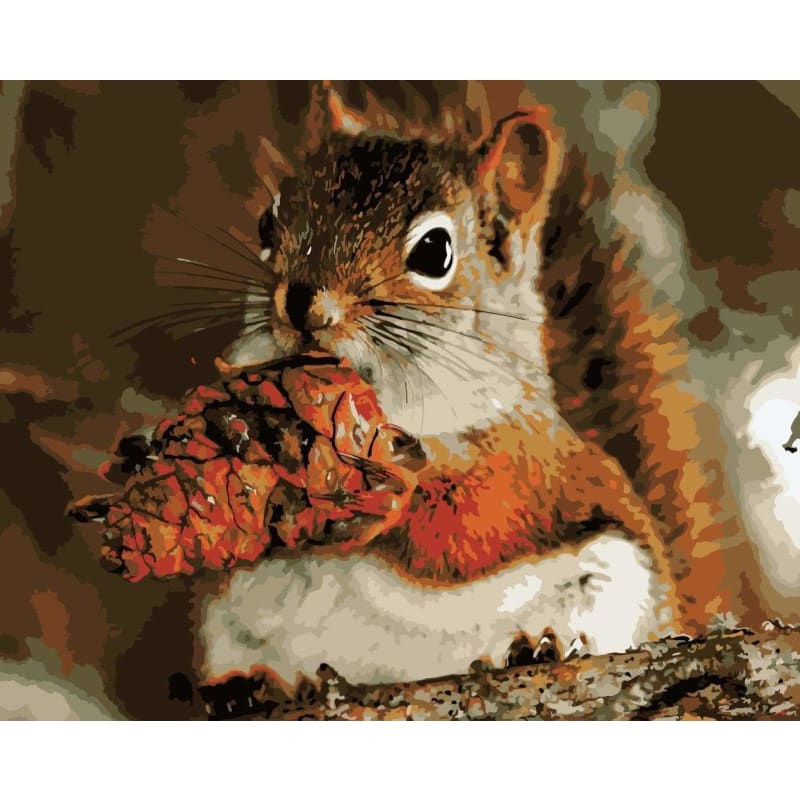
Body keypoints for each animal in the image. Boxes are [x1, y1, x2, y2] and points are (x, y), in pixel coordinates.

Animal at [192, 84, 766, 701]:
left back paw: (538, 648)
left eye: (434, 251)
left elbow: (461, 528)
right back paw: (252, 687)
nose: (302, 305)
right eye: (266, 223)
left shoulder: (522, 464)